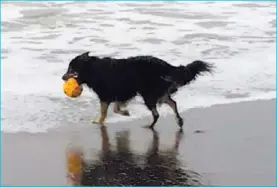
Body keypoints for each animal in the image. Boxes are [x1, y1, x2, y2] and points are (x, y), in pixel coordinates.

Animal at [62, 52, 212, 129]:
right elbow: (116, 108)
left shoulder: (107, 95)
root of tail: (166, 66)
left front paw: (99, 122)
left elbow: (105, 112)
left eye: (71, 69)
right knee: (172, 103)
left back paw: (150, 126)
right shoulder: (122, 92)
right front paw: (125, 112)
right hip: (157, 92)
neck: (92, 69)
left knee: (157, 113)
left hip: (149, 94)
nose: (62, 77)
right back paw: (178, 121)